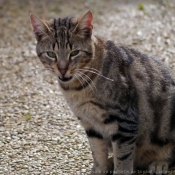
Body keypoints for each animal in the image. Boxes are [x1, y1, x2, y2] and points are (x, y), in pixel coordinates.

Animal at [30, 11, 175, 174]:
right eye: (51, 54)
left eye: (74, 53)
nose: (62, 69)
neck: (78, 89)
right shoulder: (90, 123)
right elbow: (98, 153)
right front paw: (100, 168)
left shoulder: (125, 121)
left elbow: (123, 158)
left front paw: (119, 169)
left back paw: (159, 163)